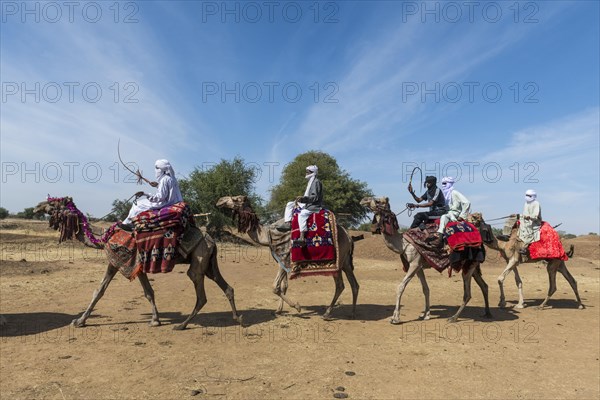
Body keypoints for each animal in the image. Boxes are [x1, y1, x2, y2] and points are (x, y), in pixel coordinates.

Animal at [32, 198, 243, 332]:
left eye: (53, 202)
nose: (36, 207)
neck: (104, 237)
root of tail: (211, 239)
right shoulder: (135, 266)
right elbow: (146, 292)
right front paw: (156, 320)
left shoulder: (120, 261)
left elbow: (101, 291)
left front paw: (79, 321)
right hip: (209, 262)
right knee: (226, 286)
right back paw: (238, 319)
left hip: (199, 260)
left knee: (201, 294)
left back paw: (182, 325)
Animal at [360, 197, 492, 324]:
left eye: (378, 201)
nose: (363, 200)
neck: (403, 243)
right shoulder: (419, 266)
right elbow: (426, 289)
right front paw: (426, 315)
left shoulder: (414, 264)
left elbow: (400, 287)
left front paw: (395, 318)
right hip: (472, 265)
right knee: (484, 286)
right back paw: (487, 313)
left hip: (469, 264)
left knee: (467, 293)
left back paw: (453, 318)